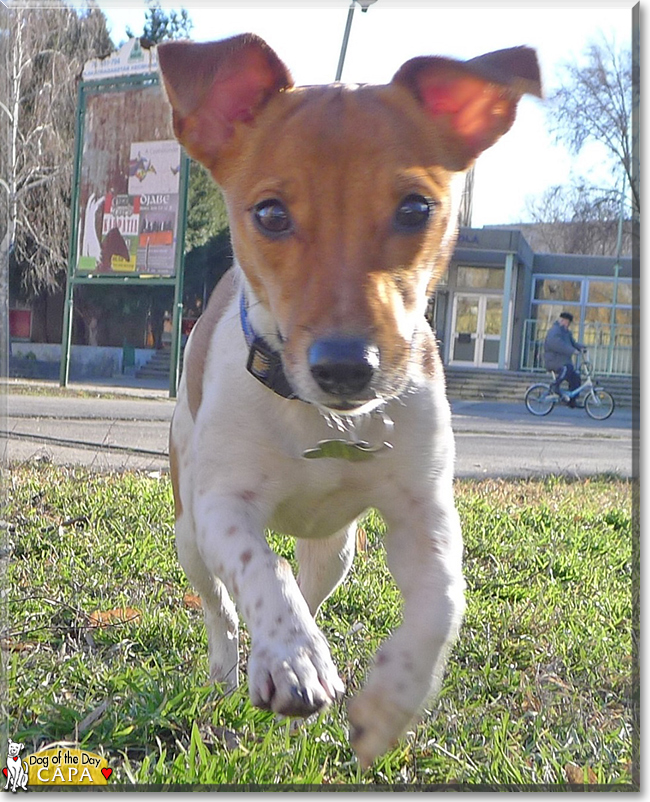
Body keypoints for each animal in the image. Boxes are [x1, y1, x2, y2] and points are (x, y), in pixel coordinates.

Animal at [159, 34, 540, 764]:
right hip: (189, 527)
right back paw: (235, 670)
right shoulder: (223, 506)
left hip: (336, 549)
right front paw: (292, 660)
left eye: (416, 208)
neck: (322, 422)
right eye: (270, 213)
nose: (345, 368)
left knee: (311, 588)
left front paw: (389, 701)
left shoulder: (424, 508)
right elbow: (261, 568)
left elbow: (443, 601)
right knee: (224, 610)